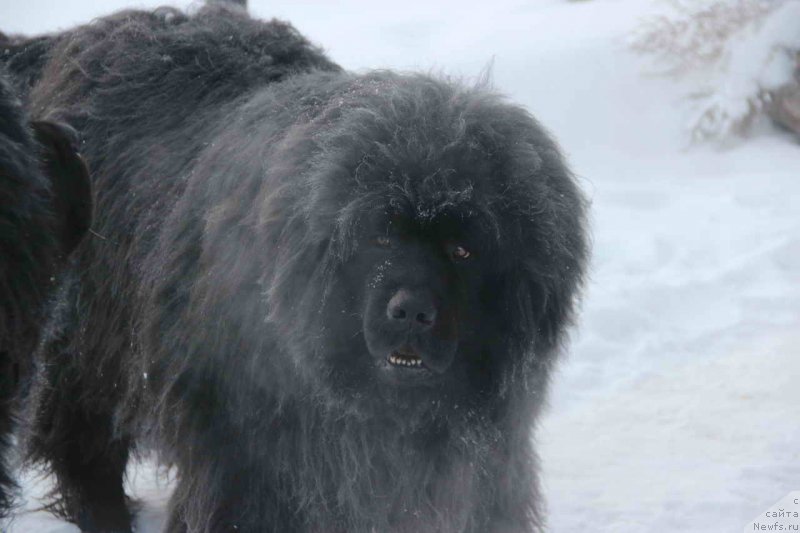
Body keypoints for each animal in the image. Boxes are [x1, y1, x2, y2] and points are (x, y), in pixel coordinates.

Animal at [10, 2, 588, 528]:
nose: (411, 312)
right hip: (91, 338)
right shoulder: (247, 456)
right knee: (82, 441)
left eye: (463, 251)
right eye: (378, 236)